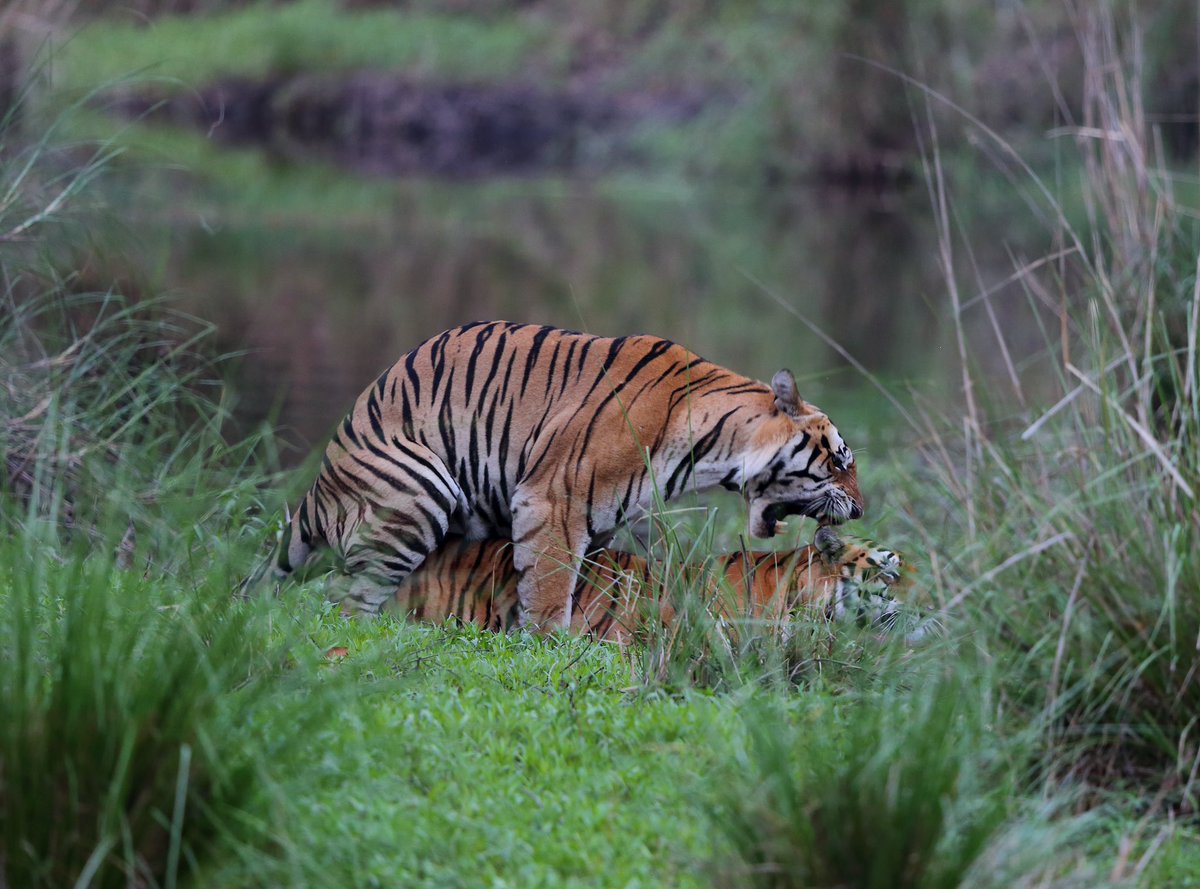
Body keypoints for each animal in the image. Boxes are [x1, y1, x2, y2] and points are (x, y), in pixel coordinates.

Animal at [255, 321, 864, 628]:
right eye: (839, 459)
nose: (860, 509)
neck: (711, 446)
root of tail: (323, 480)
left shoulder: (603, 521)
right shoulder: (552, 502)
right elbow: (549, 589)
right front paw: (549, 648)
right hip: (418, 490)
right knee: (344, 597)